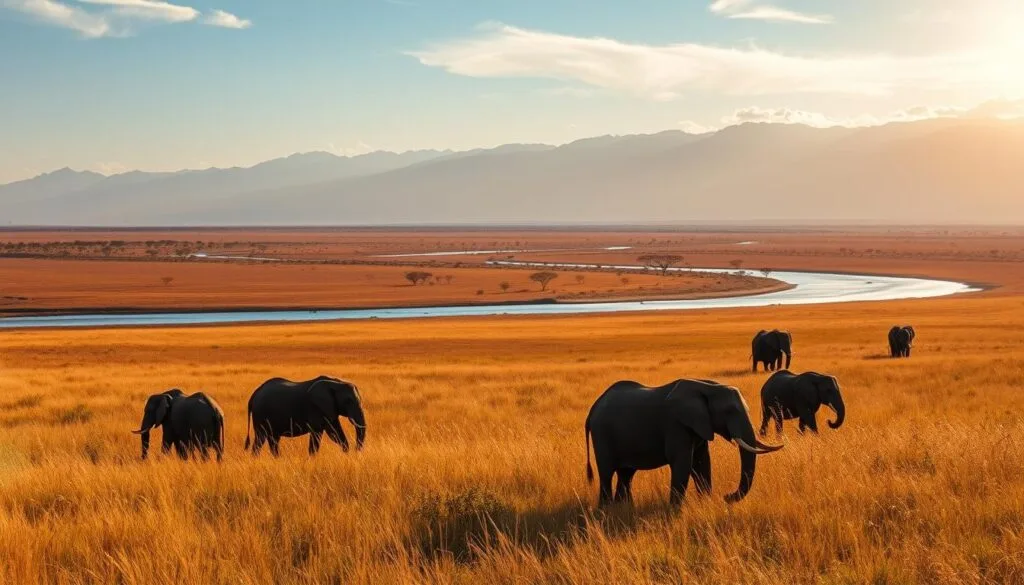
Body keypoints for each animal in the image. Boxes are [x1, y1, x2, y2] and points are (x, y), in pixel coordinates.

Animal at [584, 378, 783, 507]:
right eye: (729, 411)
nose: (727, 497)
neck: (708, 387)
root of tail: (593, 408)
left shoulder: (700, 426)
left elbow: (702, 463)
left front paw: (705, 504)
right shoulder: (676, 425)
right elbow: (683, 463)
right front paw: (675, 510)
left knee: (626, 474)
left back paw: (623, 508)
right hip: (602, 434)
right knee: (607, 472)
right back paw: (606, 509)